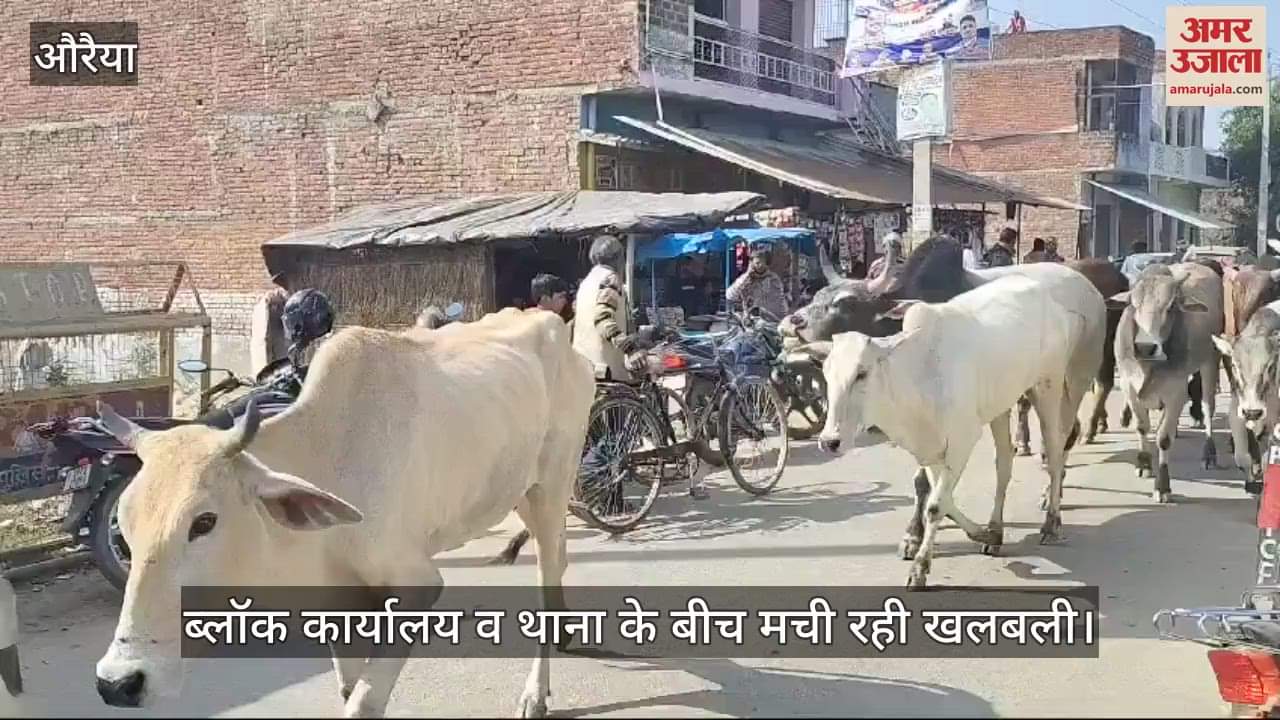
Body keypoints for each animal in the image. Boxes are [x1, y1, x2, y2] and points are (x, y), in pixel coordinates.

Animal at [92, 308, 596, 719]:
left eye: (203, 522)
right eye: (126, 528)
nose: (119, 682)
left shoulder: (417, 584)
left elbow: (363, 702)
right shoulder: (337, 602)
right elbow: (348, 688)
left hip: (552, 485)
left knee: (548, 567)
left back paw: (535, 693)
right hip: (519, 492)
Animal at [804, 266, 1106, 589]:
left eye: (862, 373)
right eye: (826, 373)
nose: (830, 441)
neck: (918, 375)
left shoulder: (963, 439)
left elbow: (936, 505)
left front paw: (920, 568)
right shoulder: (928, 448)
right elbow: (940, 497)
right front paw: (985, 534)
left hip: (1051, 385)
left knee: (1056, 452)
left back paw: (1051, 522)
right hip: (1001, 404)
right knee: (1005, 461)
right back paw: (996, 526)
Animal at [1111, 262, 1224, 503]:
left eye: (1171, 306)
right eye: (1132, 304)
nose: (1145, 347)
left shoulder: (1175, 392)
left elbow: (1163, 438)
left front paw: (1162, 486)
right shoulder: (1128, 385)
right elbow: (1142, 426)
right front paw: (1144, 463)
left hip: (1210, 361)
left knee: (1208, 408)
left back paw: (1209, 453)